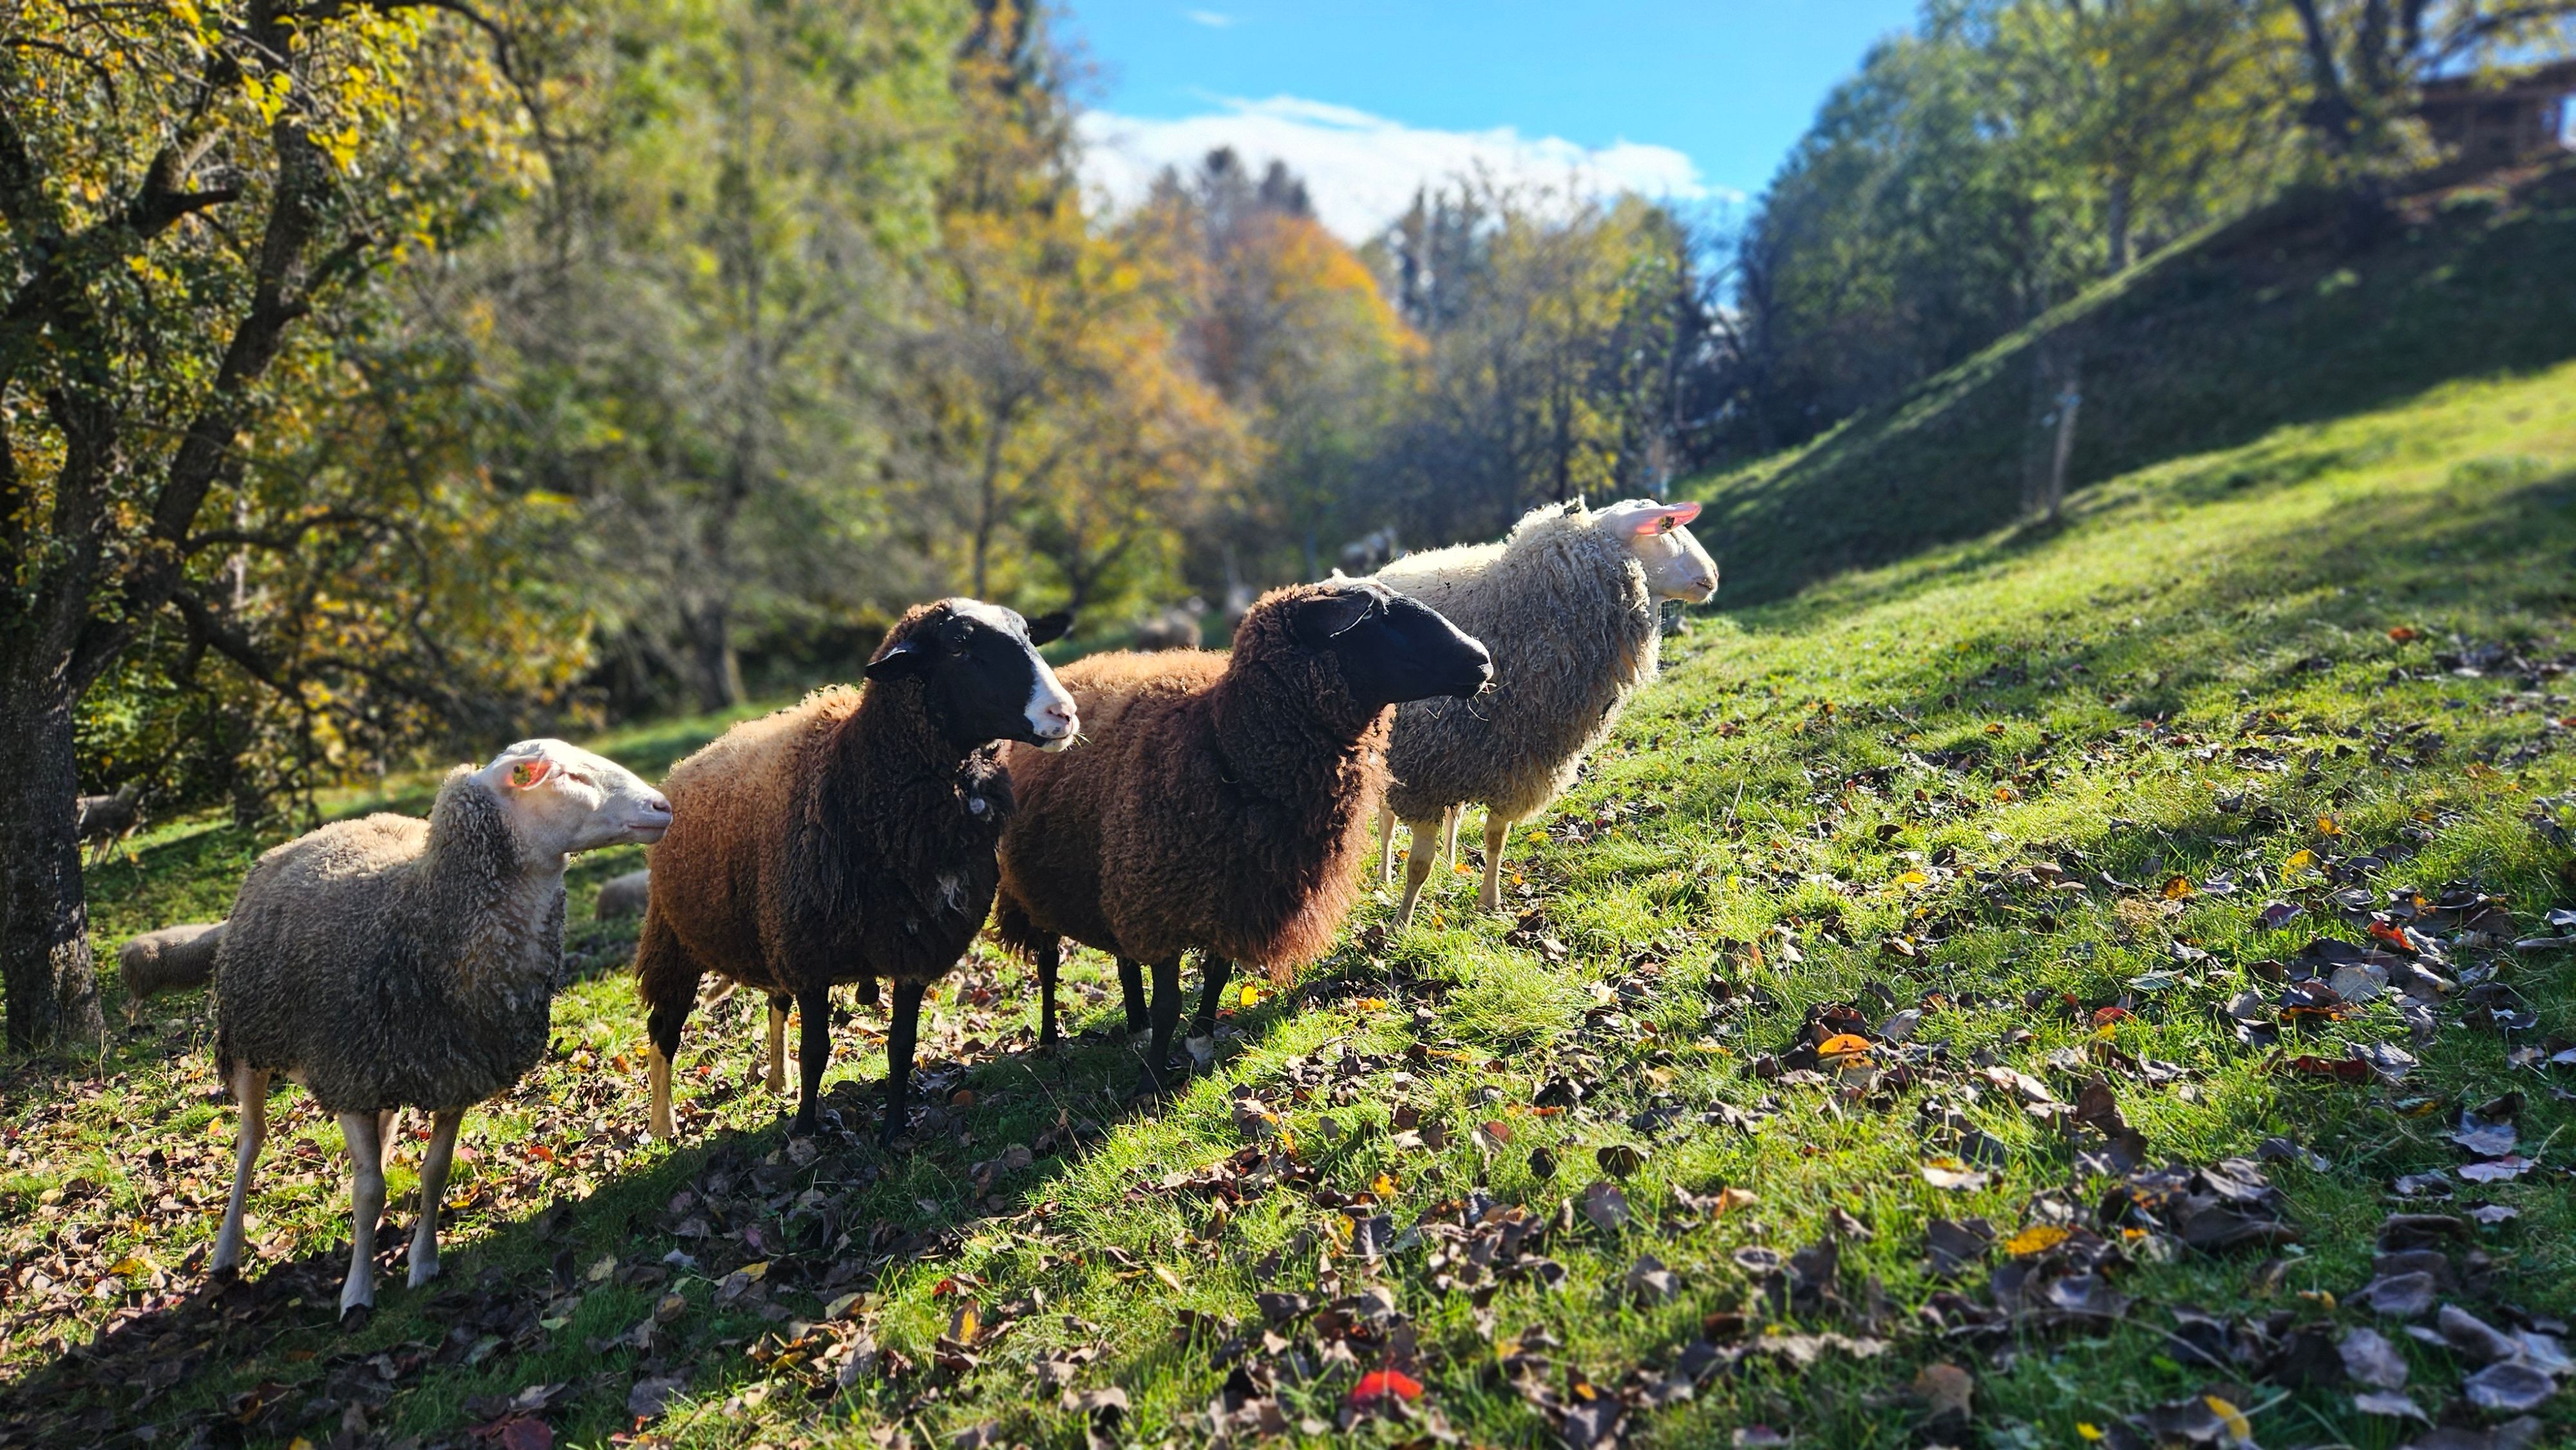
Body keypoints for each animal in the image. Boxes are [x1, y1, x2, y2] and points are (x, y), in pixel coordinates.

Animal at [209, 739, 672, 1325]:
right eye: (566, 775)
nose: (662, 806)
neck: (422, 914)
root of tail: (322, 830)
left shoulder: (453, 1071)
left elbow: (433, 1171)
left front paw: (422, 1262)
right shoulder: (347, 1073)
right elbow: (367, 1191)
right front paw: (357, 1294)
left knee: (378, 1142)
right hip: (248, 1038)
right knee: (251, 1141)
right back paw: (226, 1253)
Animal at [635, 599, 1077, 1146]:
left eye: (1029, 634)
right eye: (958, 645)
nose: (1064, 713)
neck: (858, 774)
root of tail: (687, 761)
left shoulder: (913, 948)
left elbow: (901, 1045)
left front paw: (894, 1132)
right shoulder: (811, 957)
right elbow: (816, 1052)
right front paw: (806, 1130)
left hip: (770, 928)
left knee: (774, 1005)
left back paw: (776, 1082)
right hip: (675, 937)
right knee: (664, 1031)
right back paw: (664, 1125)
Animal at [995, 580, 1492, 1092]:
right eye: (1374, 616)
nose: (1482, 660)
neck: (1223, 743)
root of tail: (1078, 667)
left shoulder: (1234, 896)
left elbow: (1216, 977)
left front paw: (1199, 1045)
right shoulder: (1161, 900)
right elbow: (1170, 1003)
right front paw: (1152, 1081)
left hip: (1109, 871)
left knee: (1123, 956)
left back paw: (1135, 1026)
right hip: (1034, 883)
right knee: (1049, 960)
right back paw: (1051, 1041)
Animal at [1372, 499, 1720, 925]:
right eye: (1666, 526)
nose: (1713, 575)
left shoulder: (1514, 770)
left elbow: (1495, 841)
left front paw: (1490, 903)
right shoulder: (1422, 779)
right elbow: (1419, 863)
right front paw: (1402, 923)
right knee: (1386, 824)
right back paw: (1384, 877)